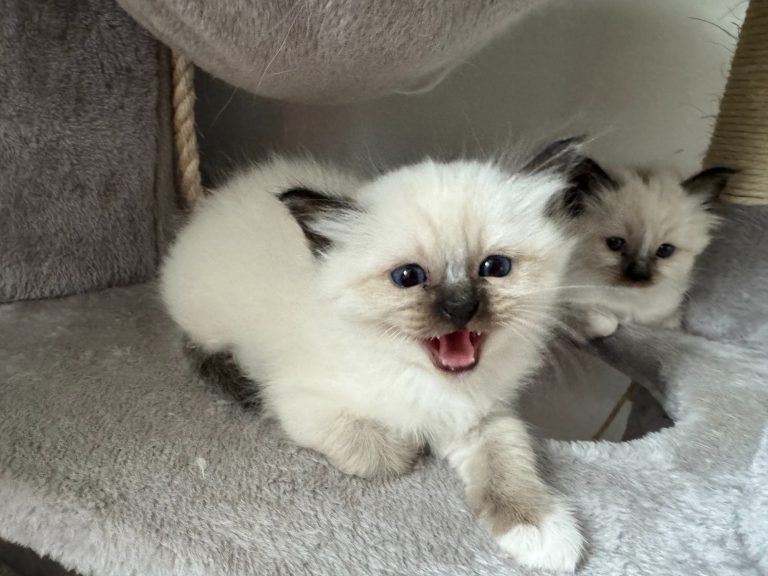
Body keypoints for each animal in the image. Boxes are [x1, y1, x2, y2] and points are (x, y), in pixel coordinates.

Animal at [160, 140, 588, 572]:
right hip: (207, 320)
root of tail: (211, 205)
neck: (435, 386)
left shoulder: (485, 415)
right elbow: (384, 455)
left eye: (495, 267)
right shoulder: (302, 403)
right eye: (408, 277)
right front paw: (412, 447)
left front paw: (540, 533)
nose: (461, 308)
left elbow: (509, 460)